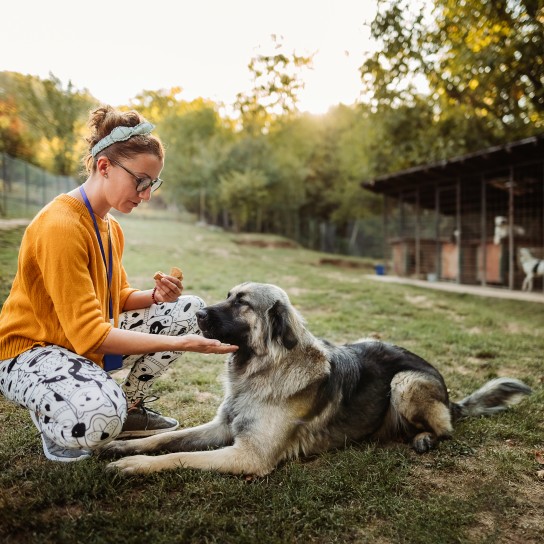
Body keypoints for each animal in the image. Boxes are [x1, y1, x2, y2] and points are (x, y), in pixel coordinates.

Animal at [103, 282, 532, 474]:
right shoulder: (222, 427)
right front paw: (123, 446)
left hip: (405, 382)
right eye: (227, 295)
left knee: (446, 429)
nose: (198, 314)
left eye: (242, 303)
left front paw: (135, 466)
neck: (264, 370)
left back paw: (426, 436)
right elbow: (163, 440)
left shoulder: (249, 455)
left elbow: (178, 456)